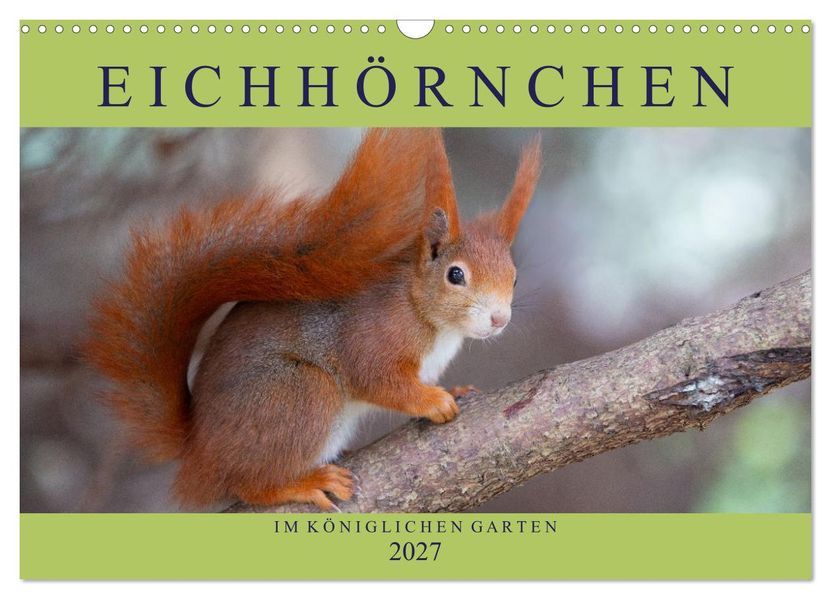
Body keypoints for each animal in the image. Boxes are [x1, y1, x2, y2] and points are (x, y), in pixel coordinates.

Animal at [82, 128, 541, 510]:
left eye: (515, 276)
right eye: (455, 275)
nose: (499, 318)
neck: (425, 314)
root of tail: (198, 450)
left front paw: (456, 389)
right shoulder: (371, 338)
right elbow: (379, 380)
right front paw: (433, 401)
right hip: (300, 393)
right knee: (248, 484)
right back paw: (302, 483)